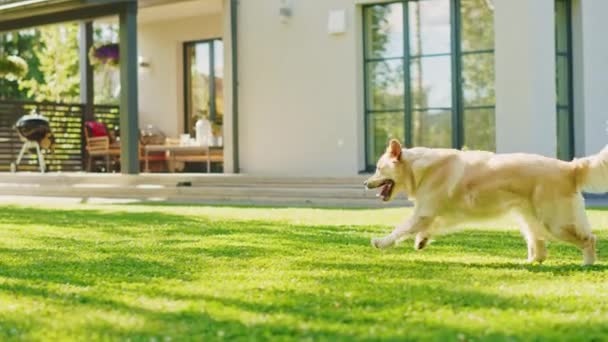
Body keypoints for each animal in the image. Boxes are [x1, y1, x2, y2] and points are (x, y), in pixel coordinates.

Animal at [364, 139, 604, 264]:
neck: (418, 168)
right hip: (530, 220)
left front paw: (381, 242)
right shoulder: (437, 212)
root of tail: (569, 167)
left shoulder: (424, 211)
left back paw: (587, 264)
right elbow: (428, 227)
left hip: (555, 223)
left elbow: (400, 229)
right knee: (540, 250)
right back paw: (528, 263)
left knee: (589, 239)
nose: (366, 183)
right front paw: (421, 240)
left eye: (378, 168)